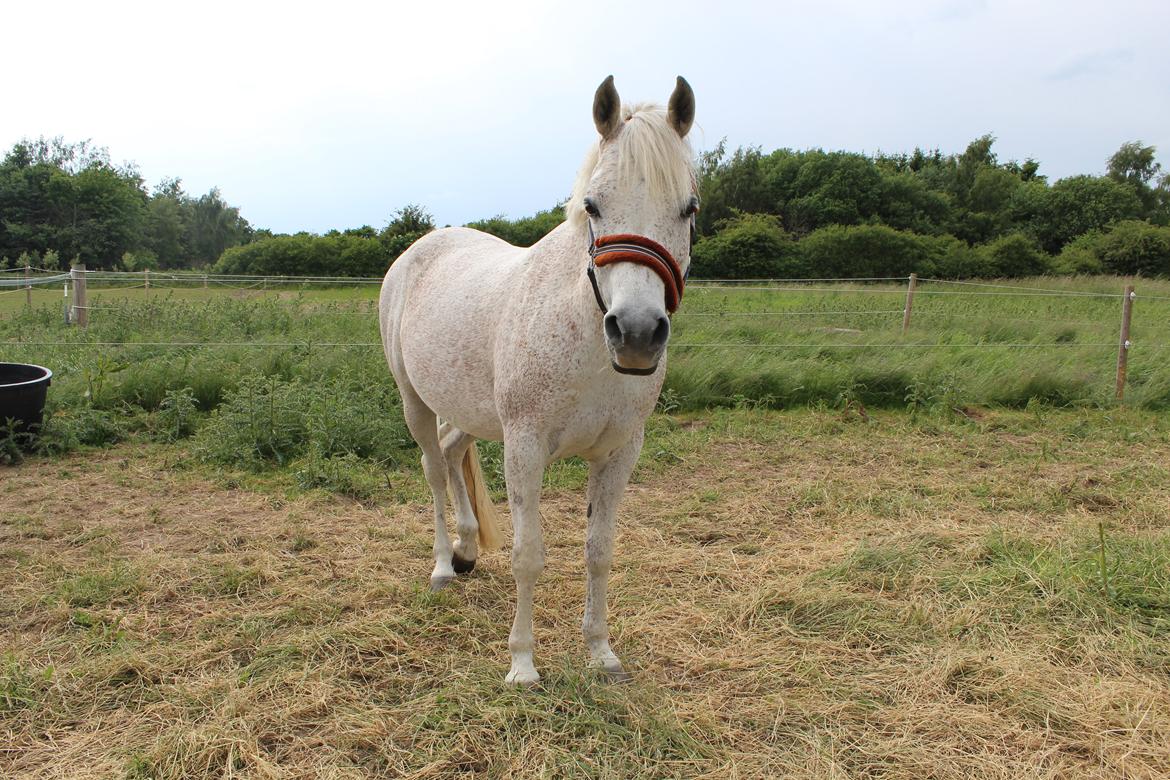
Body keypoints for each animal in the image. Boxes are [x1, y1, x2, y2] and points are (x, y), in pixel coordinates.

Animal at [381, 73, 692, 682]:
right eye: (593, 205)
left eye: (688, 209)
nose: (637, 333)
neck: (585, 338)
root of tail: (419, 250)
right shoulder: (524, 446)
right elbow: (529, 556)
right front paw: (522, 664)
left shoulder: (620, 452)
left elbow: (599, 551)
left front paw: (601, 652)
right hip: (414, 401)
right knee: (433, 468)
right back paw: (443, 566)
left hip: (472, 411)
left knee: (452, 453)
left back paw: (467, 550)